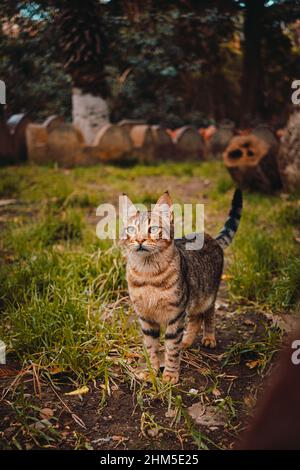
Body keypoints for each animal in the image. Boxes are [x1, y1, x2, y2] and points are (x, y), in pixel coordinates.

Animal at [120, 189, 243, 384]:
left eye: (152, 229)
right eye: (131, 229)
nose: (139, 240)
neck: (148, 274)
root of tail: (211, 238)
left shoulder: (175, 315)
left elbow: (171, 347)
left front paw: (170, 374)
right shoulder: (146, 318)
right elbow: (150, 347)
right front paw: (151, 370)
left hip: (207, 295)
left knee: (209, 315)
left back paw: (208, 337)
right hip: (193, 298)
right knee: (195, 319)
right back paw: (186, 341)